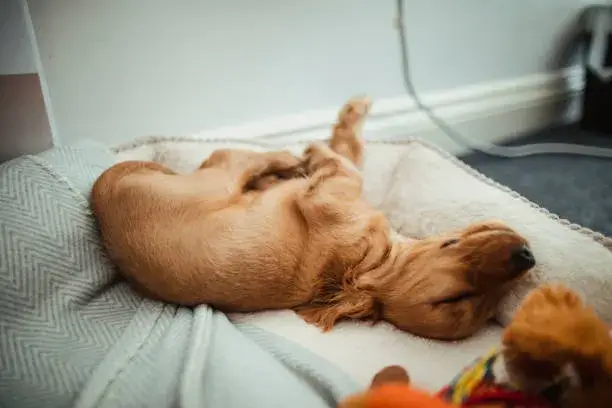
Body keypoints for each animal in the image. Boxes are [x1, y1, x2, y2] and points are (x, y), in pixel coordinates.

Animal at [91, 96, 536, 342]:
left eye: (480, 305)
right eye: (455, 298)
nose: (527, 256)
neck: (371, 262)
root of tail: (102, 188)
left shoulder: (329, 192)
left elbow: (343, 160)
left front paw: (319, 146)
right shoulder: (334, 192)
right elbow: (348, 155)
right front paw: (343, 123)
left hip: (218, 178)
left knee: (233, 155)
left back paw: (284, 162)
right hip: (219, 180)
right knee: (244, 157)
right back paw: (289, 161)